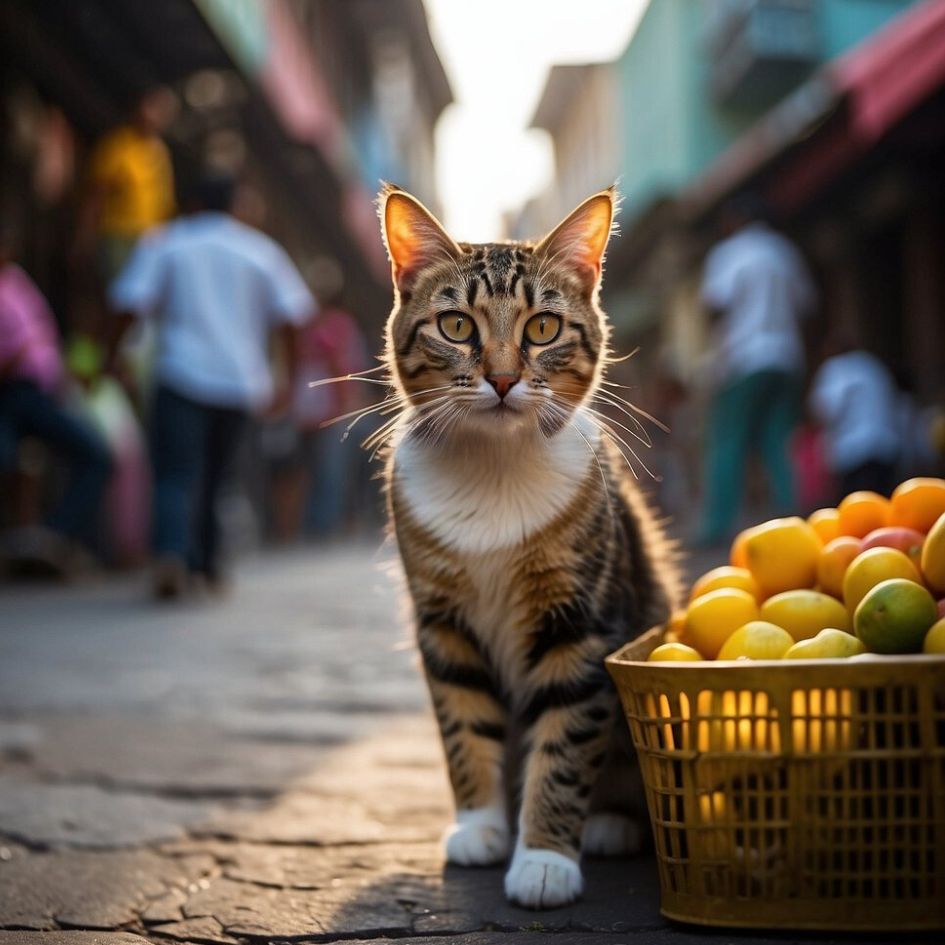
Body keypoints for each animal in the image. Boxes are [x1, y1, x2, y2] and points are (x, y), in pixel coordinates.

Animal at [374, 183, 680, 908]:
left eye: (542, 328)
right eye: (456, 326)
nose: (504, 379)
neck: (494, 467)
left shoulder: (581, 622)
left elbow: (563, 744)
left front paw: (543, 858)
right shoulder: (443, 622)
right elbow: (463, 722)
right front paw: (480, 825)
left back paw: (609, 823)